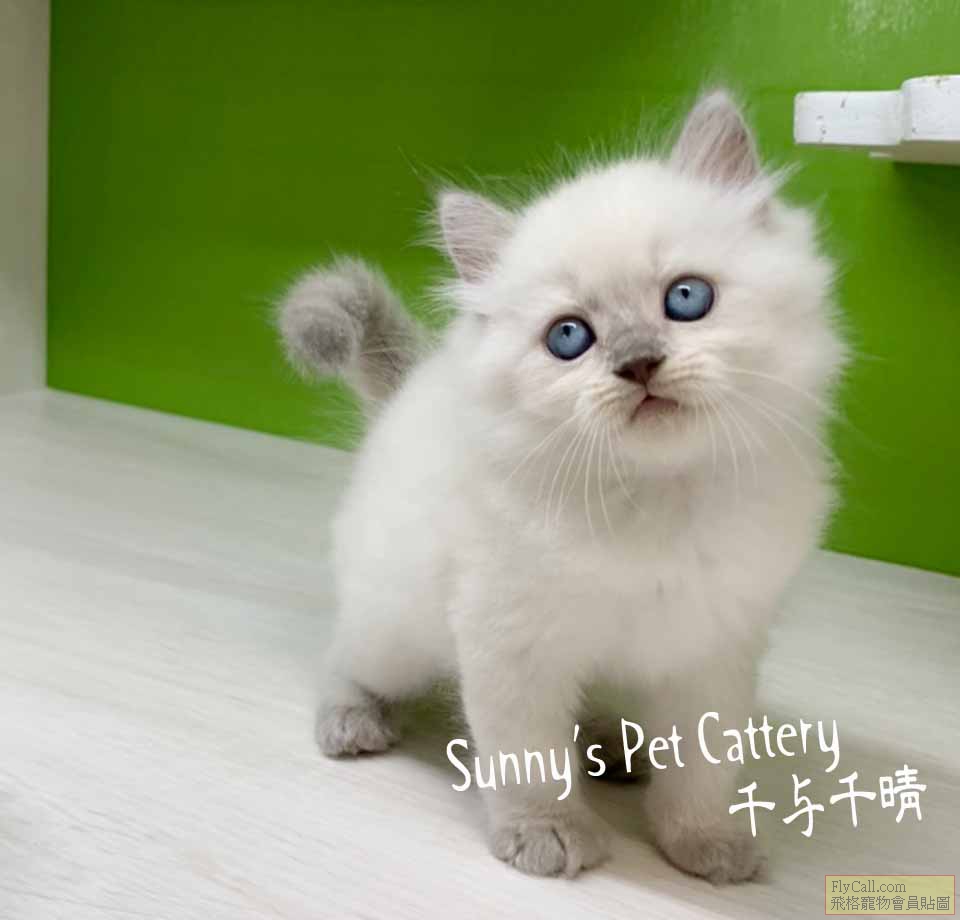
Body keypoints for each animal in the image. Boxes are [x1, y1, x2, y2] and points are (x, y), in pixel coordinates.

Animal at [277, 89, 847, 883]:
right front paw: (546, 837)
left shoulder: (712, 649)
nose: (638, 364)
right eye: (569, 338)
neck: (654, 503)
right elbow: (532, 761)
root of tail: (409, 389)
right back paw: (352, 720)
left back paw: (618, 748)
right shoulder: (510, 642)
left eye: (687, 298)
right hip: (396, 630)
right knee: (345, 659)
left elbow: (703, 770)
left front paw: (705, 846)